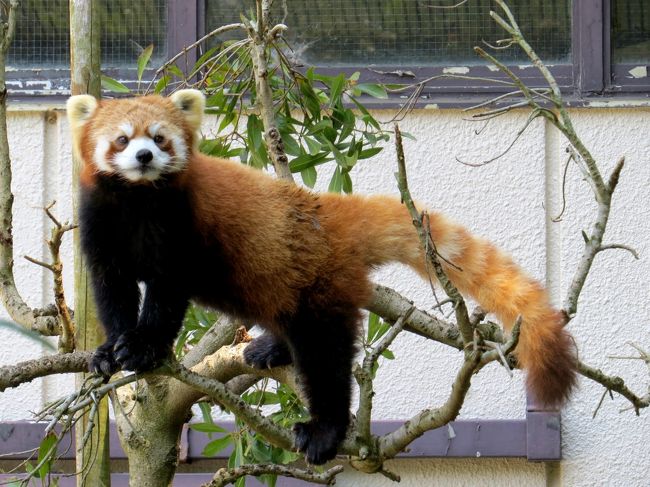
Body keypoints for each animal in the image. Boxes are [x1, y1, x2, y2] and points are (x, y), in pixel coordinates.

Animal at [64, 89, 572, 468]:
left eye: (160, 137)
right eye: (121, 139)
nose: (144, 156)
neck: (138, 201)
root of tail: (331, 213)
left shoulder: (180, 227)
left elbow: (166, 295)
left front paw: (144, 347)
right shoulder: (101, 225)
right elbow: (111, 292)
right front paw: (113, 348)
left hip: (318, 285)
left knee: (325, 356)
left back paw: (325, 427)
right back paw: (272, 348)